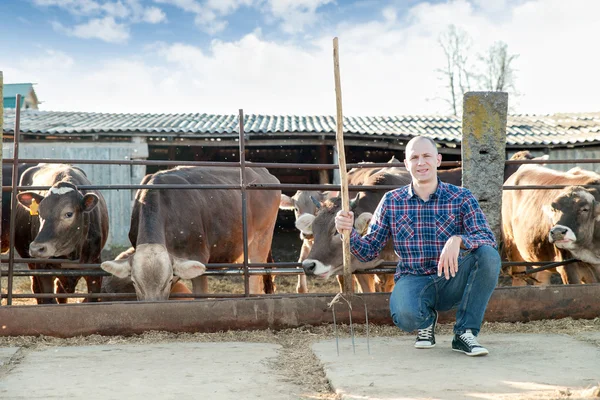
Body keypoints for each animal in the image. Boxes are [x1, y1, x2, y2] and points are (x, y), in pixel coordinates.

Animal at [101, 166, 282, 300]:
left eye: (167, 281)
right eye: (134, 282)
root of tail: (263, 171)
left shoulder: (198, 256)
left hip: (262, 238)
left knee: (255, 279)